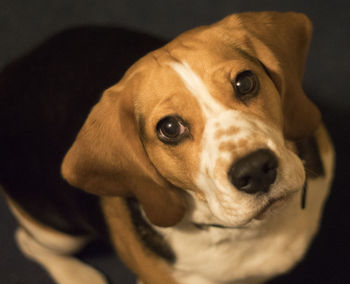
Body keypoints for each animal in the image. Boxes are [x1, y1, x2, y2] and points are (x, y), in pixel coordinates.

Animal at [0, 11, 334, 284]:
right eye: (170, 128)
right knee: (27, 241)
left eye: (245, 82)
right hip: (57, 232)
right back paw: (78, 276)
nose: (255, 171)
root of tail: (15, 69)